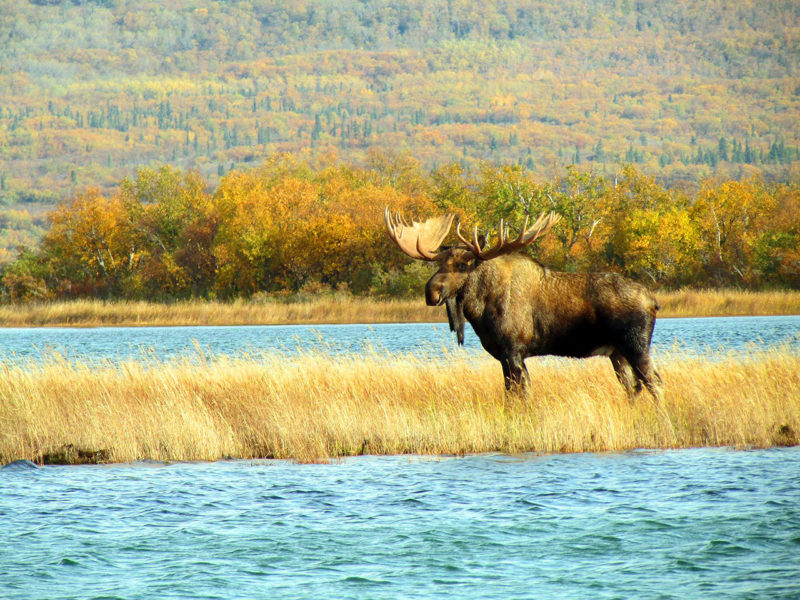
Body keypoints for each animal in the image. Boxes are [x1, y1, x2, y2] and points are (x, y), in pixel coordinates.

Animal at [384, 208, 663, 399]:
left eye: (462, 265)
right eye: (439, 263)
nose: (430, 292)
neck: (480, 311)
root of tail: (653, 301)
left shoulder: (514, 351)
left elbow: (520, 394)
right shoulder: (502, 356)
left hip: (635, 345)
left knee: (654, 382)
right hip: (617, 353)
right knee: (634, 388)